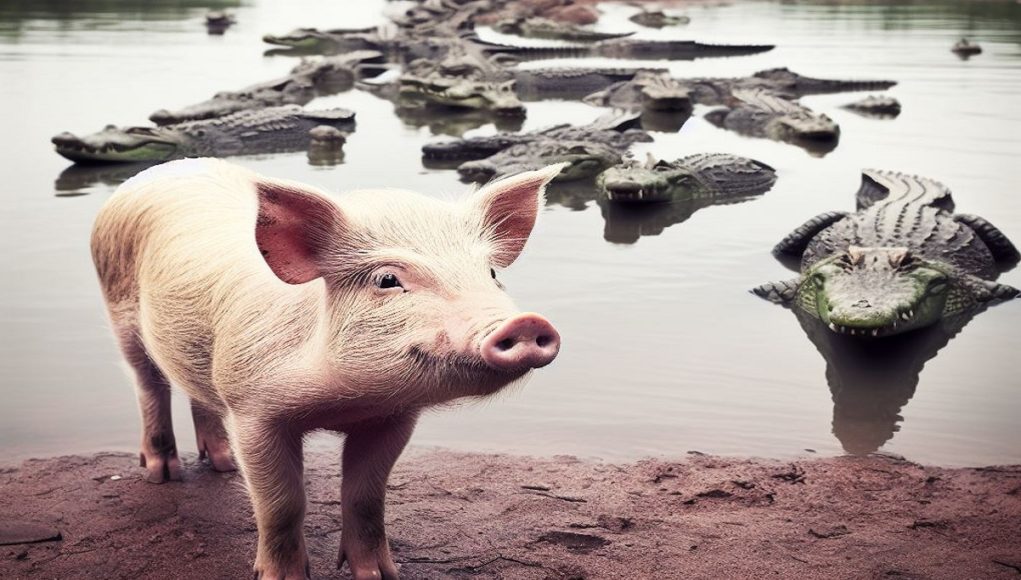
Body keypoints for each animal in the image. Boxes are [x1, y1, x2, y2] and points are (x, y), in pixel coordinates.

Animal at [90, 156, 563, 575]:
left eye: (491, 274)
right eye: (387, 280)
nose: (526, 323)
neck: (343, 403)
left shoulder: (393, 417)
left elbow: (366, 497)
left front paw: (380, 575)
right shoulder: (252, 409)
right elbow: (282, 504)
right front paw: (281, 576)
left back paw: (224, 465)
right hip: (118, 307)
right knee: (148, 384)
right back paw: (162, 474)